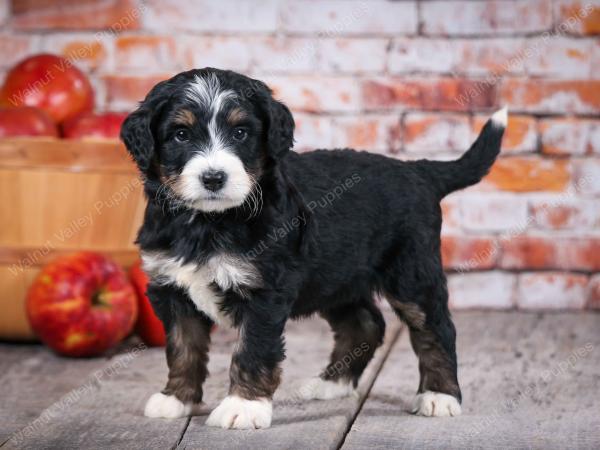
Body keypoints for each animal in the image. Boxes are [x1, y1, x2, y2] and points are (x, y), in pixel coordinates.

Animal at [122, 67, 506, 428]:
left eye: (240, 133)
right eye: (181, 134)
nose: (214, 178)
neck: (207, 222)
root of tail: (419, 171)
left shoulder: (264, 291)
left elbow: (252, 349)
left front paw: (242, 407)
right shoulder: (172, 289)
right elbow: (182, 347)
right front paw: (176, 399)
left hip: (411, 272)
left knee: (435, 328)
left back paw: (439, 396)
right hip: (338, 276)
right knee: (365, 323)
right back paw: (331, 384)